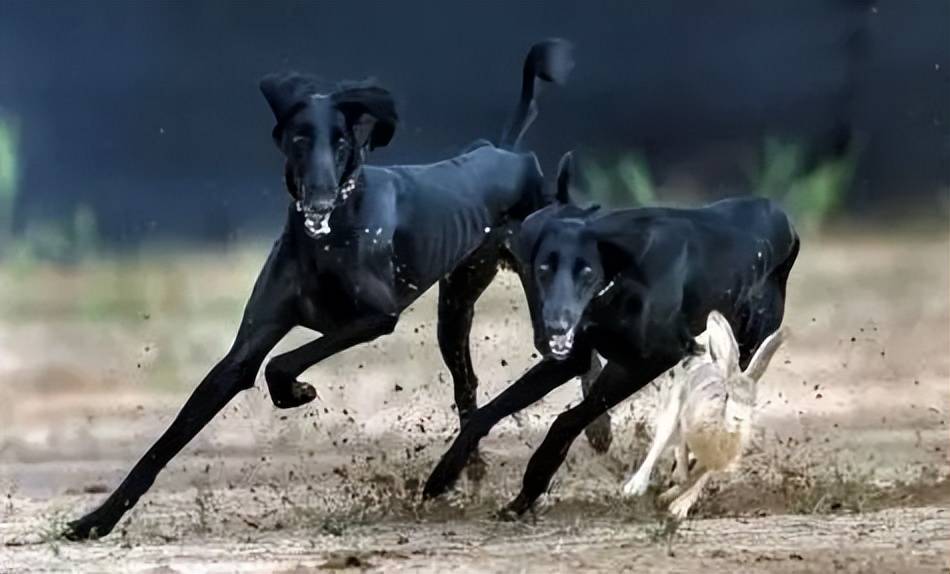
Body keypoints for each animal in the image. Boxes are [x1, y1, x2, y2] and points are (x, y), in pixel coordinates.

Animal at [63, 38, 584, 544]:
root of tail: (506, 150)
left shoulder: (375, 317)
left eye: (341, 141)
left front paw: (297, 391)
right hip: (455, 308)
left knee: (572, 362)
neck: (326, 236)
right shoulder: (245, 350)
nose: (319, 196)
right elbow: (168, 440)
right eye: (299, 138)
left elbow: (282, 362)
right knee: (468, 385)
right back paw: (467, 469)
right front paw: (96, 520)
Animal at [426, 154, 804, 516]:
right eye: (543, 267)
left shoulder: (650, 359)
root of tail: (784, 220)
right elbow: (490, 411)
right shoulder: (573, 358)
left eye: (586, 270)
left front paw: (532, 485)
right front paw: (443, 475)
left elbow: (567, 420)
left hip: (740, 347)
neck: (621, 272)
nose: (555, 325)